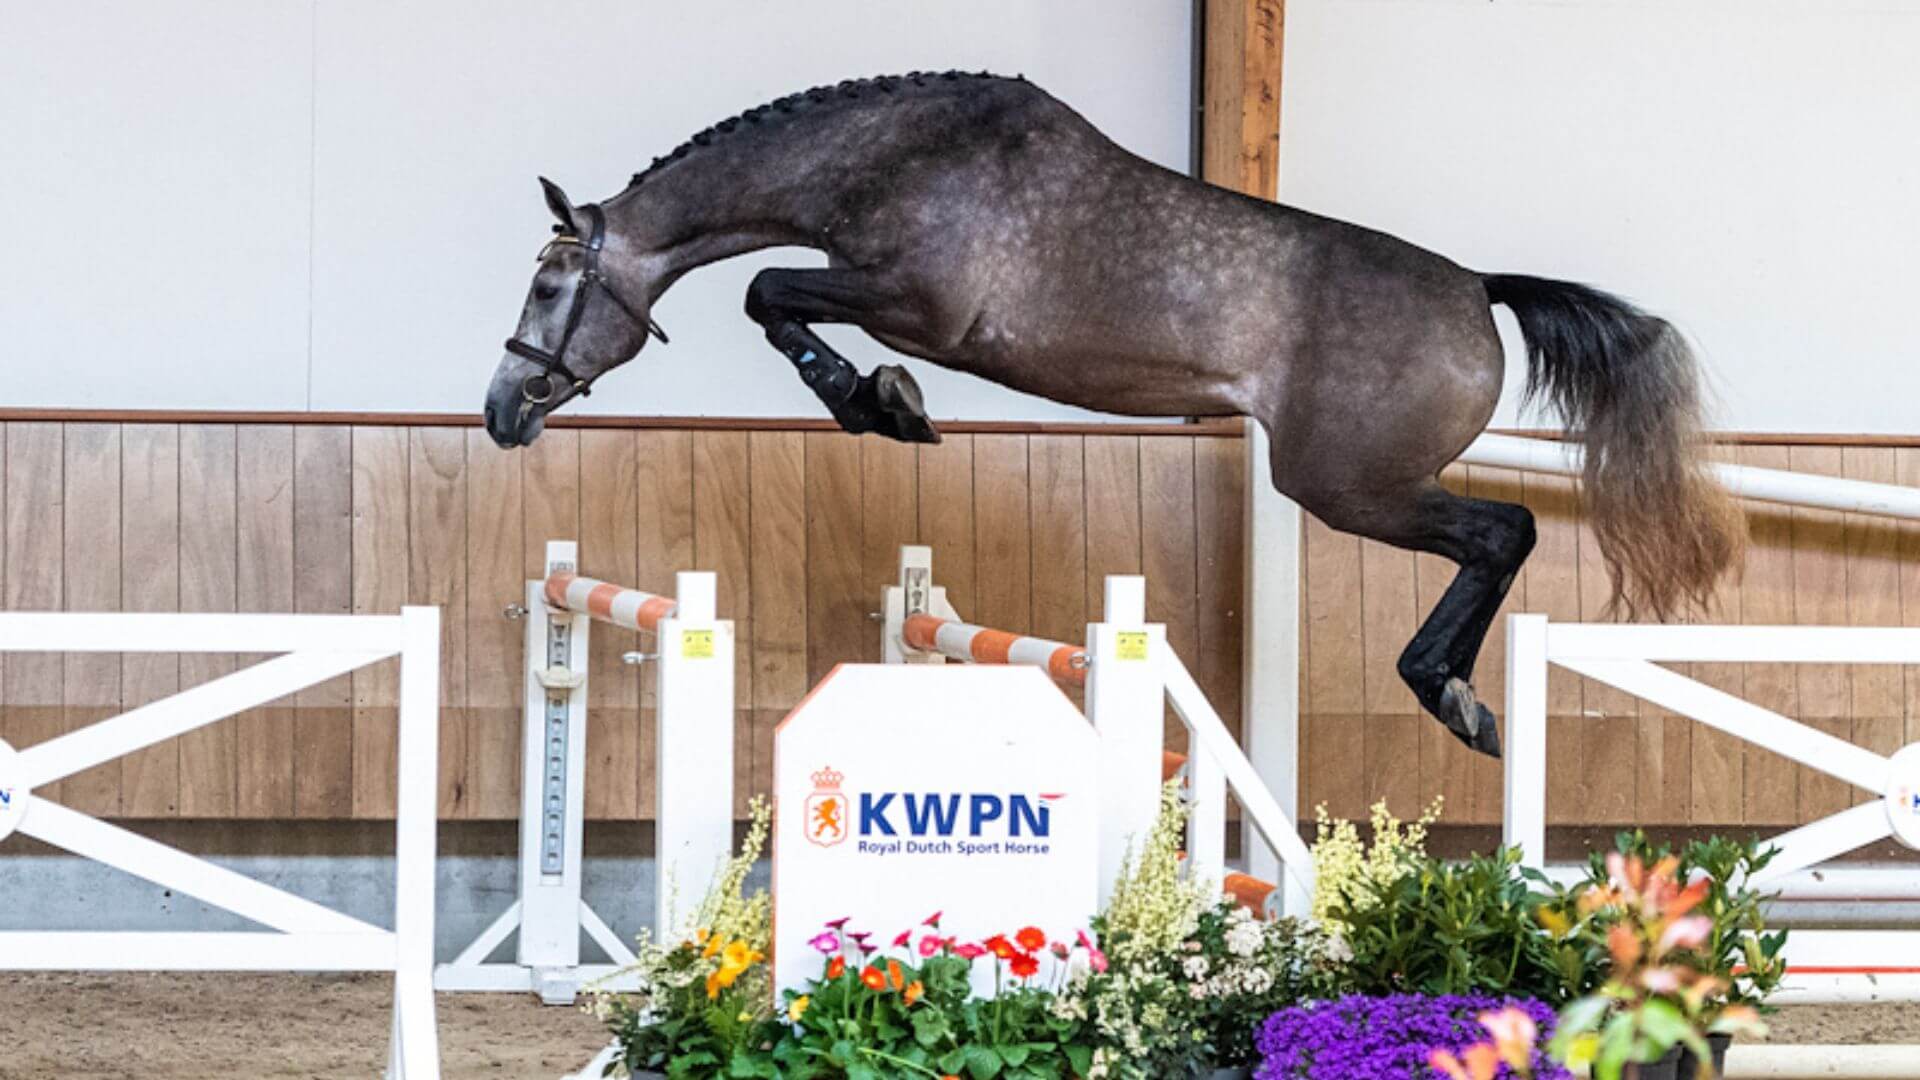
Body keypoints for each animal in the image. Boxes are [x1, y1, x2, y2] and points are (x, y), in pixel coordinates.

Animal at [482, 72, 1745, 758]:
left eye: (549, 290)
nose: (501, 411)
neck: (895, 159)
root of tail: (1479, 288)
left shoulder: (916, 305)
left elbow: (768, 294)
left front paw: (881, 406)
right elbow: (772, 296)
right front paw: (883, 405)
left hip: (1347, 485)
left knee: (1504, 532)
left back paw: (1451, 695)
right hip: (1354, 486)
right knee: (1497, 539)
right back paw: (1461, 698)